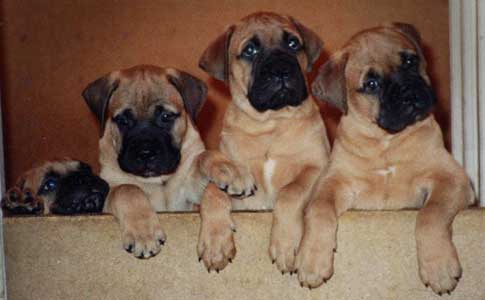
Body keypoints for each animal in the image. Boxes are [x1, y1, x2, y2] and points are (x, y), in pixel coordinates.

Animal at [82, 65, 253, 260]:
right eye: (123, 120)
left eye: (165, 116)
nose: (146, 153)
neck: (157, 180)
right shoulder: (106, 197)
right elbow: (127, 189)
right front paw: (143, 232)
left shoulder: (188, 193)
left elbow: (205, 157)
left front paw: (230, 171)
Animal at [196, 12, 328, 274]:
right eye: (250, 50)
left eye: (293, 43)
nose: (281, 69)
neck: (270, 123)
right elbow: (212, 191)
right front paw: (215, 241)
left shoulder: (316, 166)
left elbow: (290, 191)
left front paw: (286, 243)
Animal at [294, 24, 472, 296]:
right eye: (371, 83)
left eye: (410, 61)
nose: (409, 93)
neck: (385, 141)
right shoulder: (333, 182)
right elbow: (319, 210)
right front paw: (312, 260)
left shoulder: (452, 179)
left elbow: (430, 214)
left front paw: (438, 267)